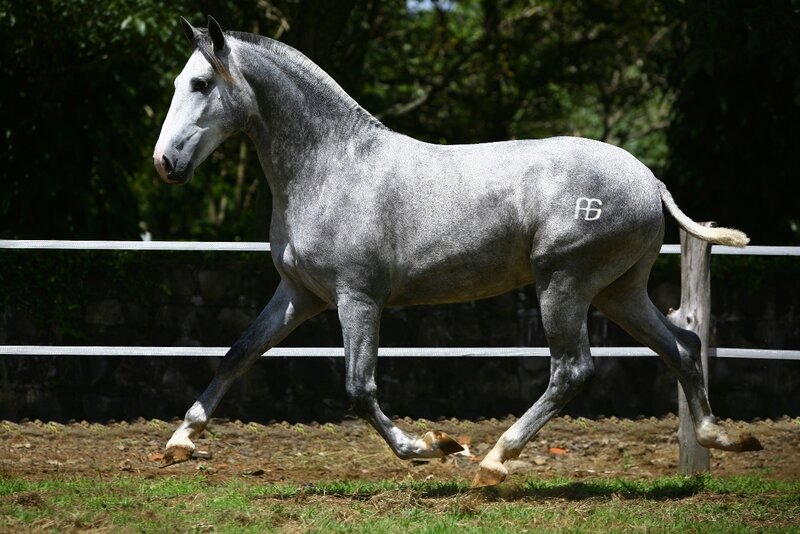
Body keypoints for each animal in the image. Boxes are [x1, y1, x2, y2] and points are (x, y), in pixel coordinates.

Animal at [153, 16, 762, 487]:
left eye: (201, 83)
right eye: (180, 81)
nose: (165, 164)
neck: (331, 167)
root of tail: (648, 180)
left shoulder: (357, 298)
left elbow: (358, 388)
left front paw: (435, 446)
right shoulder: (300, 294)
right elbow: (237, 354)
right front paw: (179, 442)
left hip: (563, 284)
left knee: (572, 371)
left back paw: (493, 462)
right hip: (618, 292)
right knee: (681, 346)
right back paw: (724, 437)